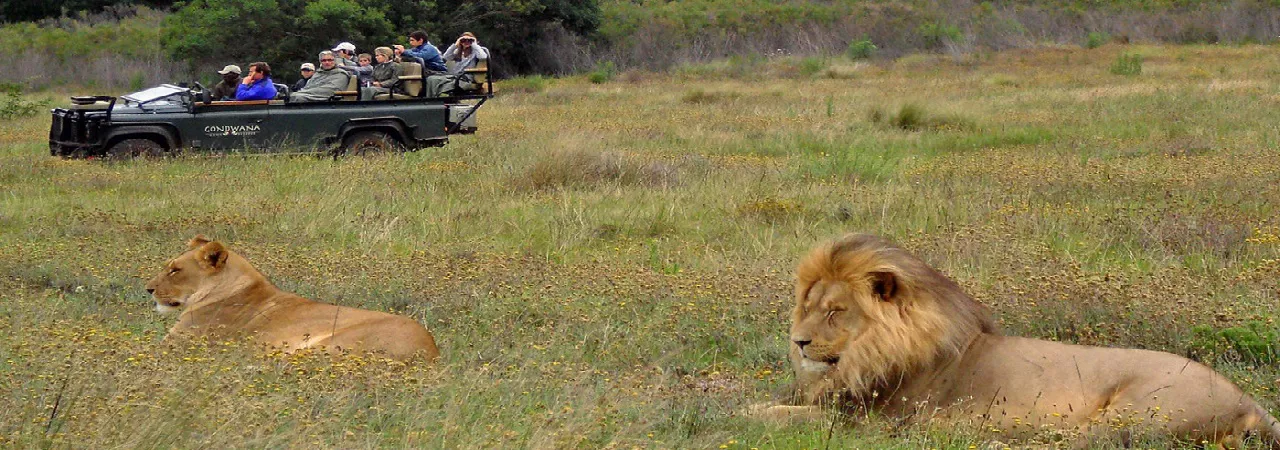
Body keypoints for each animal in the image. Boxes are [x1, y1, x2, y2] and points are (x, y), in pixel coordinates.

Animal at [752, 233, 1274, 447]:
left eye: (836, 311)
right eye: (807, 306)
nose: (798, 342)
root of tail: (1251, 402)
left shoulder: (872, 418)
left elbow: (787, 415)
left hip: (1143, 408)